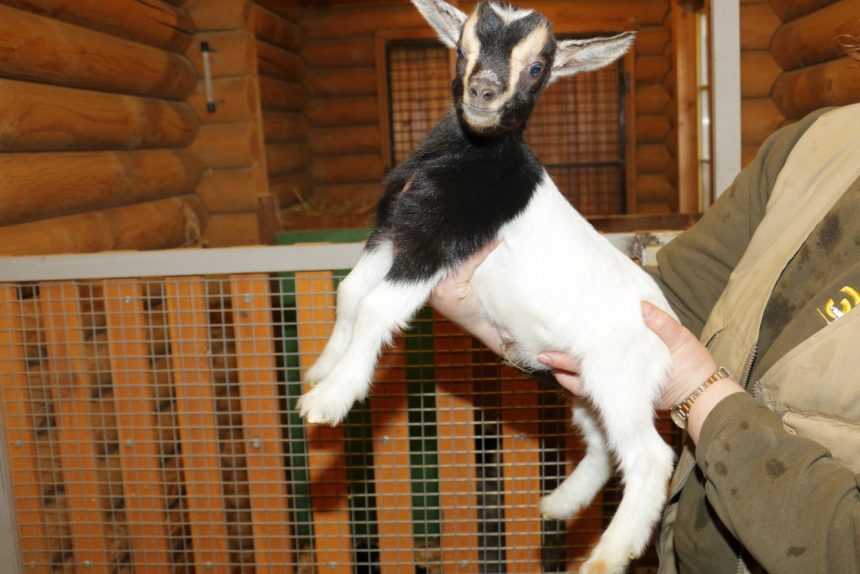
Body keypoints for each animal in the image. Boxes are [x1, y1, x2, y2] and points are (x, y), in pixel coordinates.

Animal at [297, 1, 676, 572]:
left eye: (539, 68)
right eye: (462, 48)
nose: (484, 91)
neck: (472, 155)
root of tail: (670, 334)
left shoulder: (435, 247)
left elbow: (376, 309)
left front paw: (331, 399)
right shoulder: (397, 231)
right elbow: (349, 294)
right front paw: (323, 370)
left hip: (620, 379)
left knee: (650, 456)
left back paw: (607, 554)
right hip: (580, 381)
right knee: (600, 442)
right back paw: (560, 504)